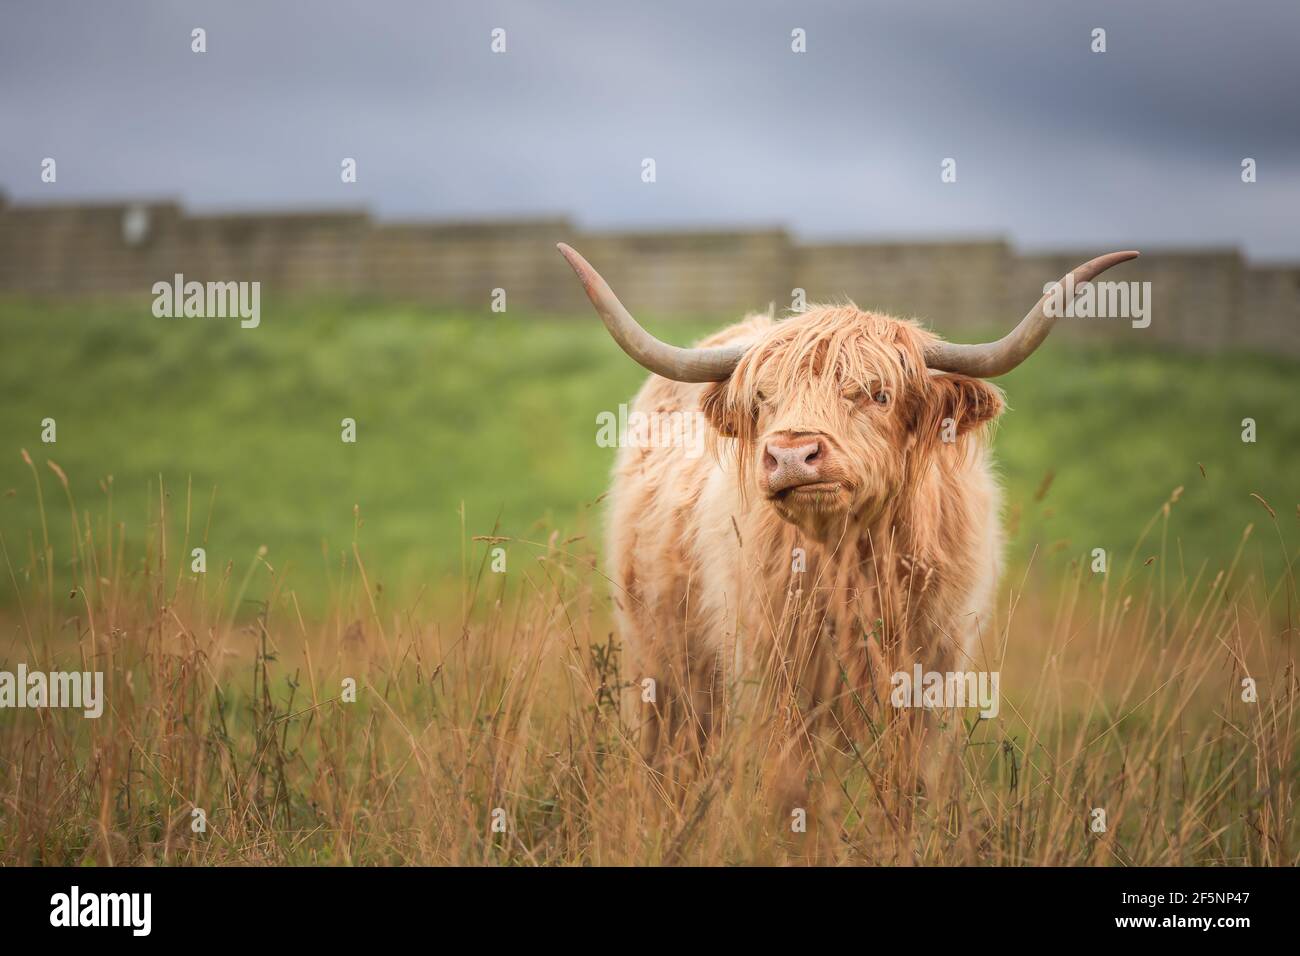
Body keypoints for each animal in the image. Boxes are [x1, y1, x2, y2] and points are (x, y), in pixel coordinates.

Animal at [557, 243, 1138, 781]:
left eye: (878, 394)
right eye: (763, 398)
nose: (791, 454)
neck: (857, 561)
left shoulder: (934, 684)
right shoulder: (770, 682)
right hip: (658, 669)